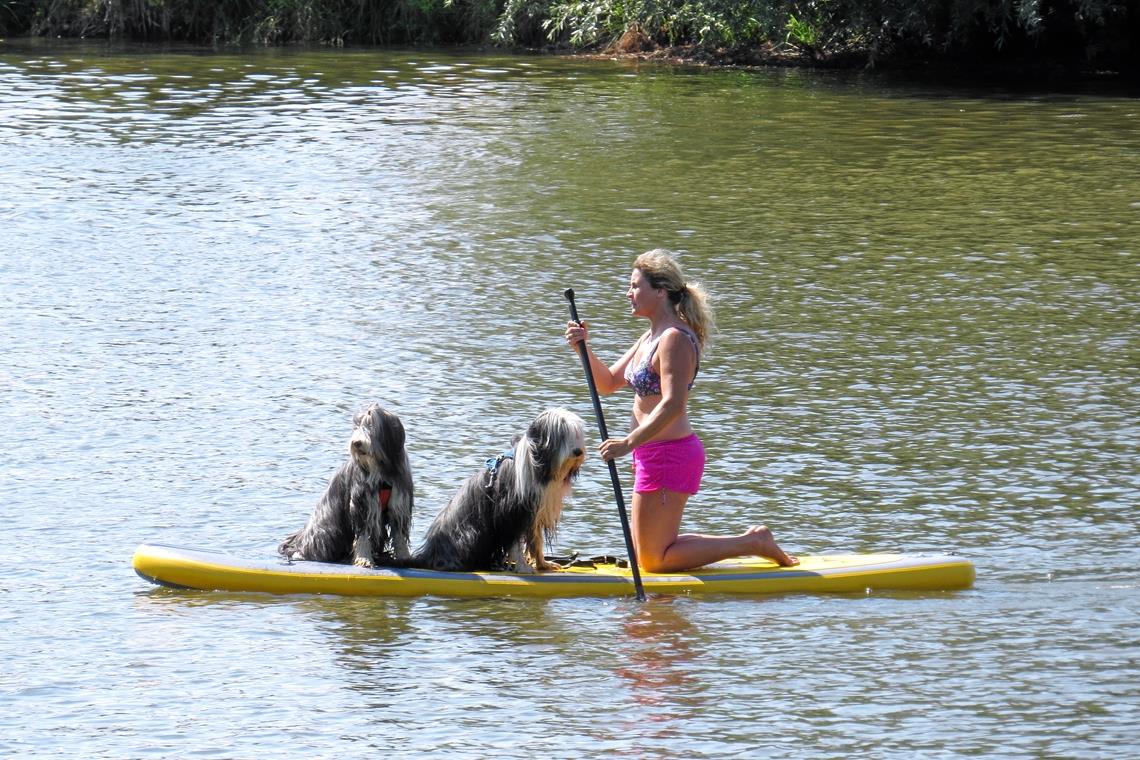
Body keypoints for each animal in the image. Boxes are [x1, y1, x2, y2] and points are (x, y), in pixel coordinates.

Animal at [277, 407, 414, 567]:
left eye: (371, 425)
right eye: (356, 427)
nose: (356, 443)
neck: (380, 472)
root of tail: (300, 541)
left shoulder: (399, 503)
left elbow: (399, 535)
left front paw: (404, 557)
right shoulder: (362, 503)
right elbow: (363, 536)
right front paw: (364, 559)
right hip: (329, 529)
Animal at [394, 407, 588, 574]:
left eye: (576, 433)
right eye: (562, 433)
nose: (578, 451)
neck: (539, 464)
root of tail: (429, 554)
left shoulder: (535, 512)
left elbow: (535, 541)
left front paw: (543, 564)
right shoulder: (511, 513)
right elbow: (515, 544)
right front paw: (524, 567)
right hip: (471, 532)